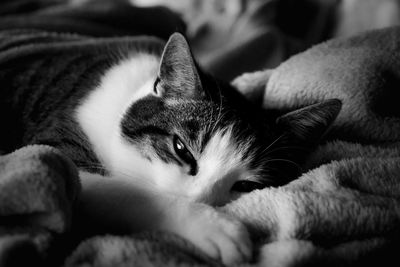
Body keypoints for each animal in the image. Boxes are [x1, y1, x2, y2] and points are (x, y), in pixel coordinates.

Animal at [0, 32, 340, 264]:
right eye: (181, 149)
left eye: (246, 186)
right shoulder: (55, 151)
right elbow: (124, 191)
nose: (200, 201)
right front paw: (212, 225)